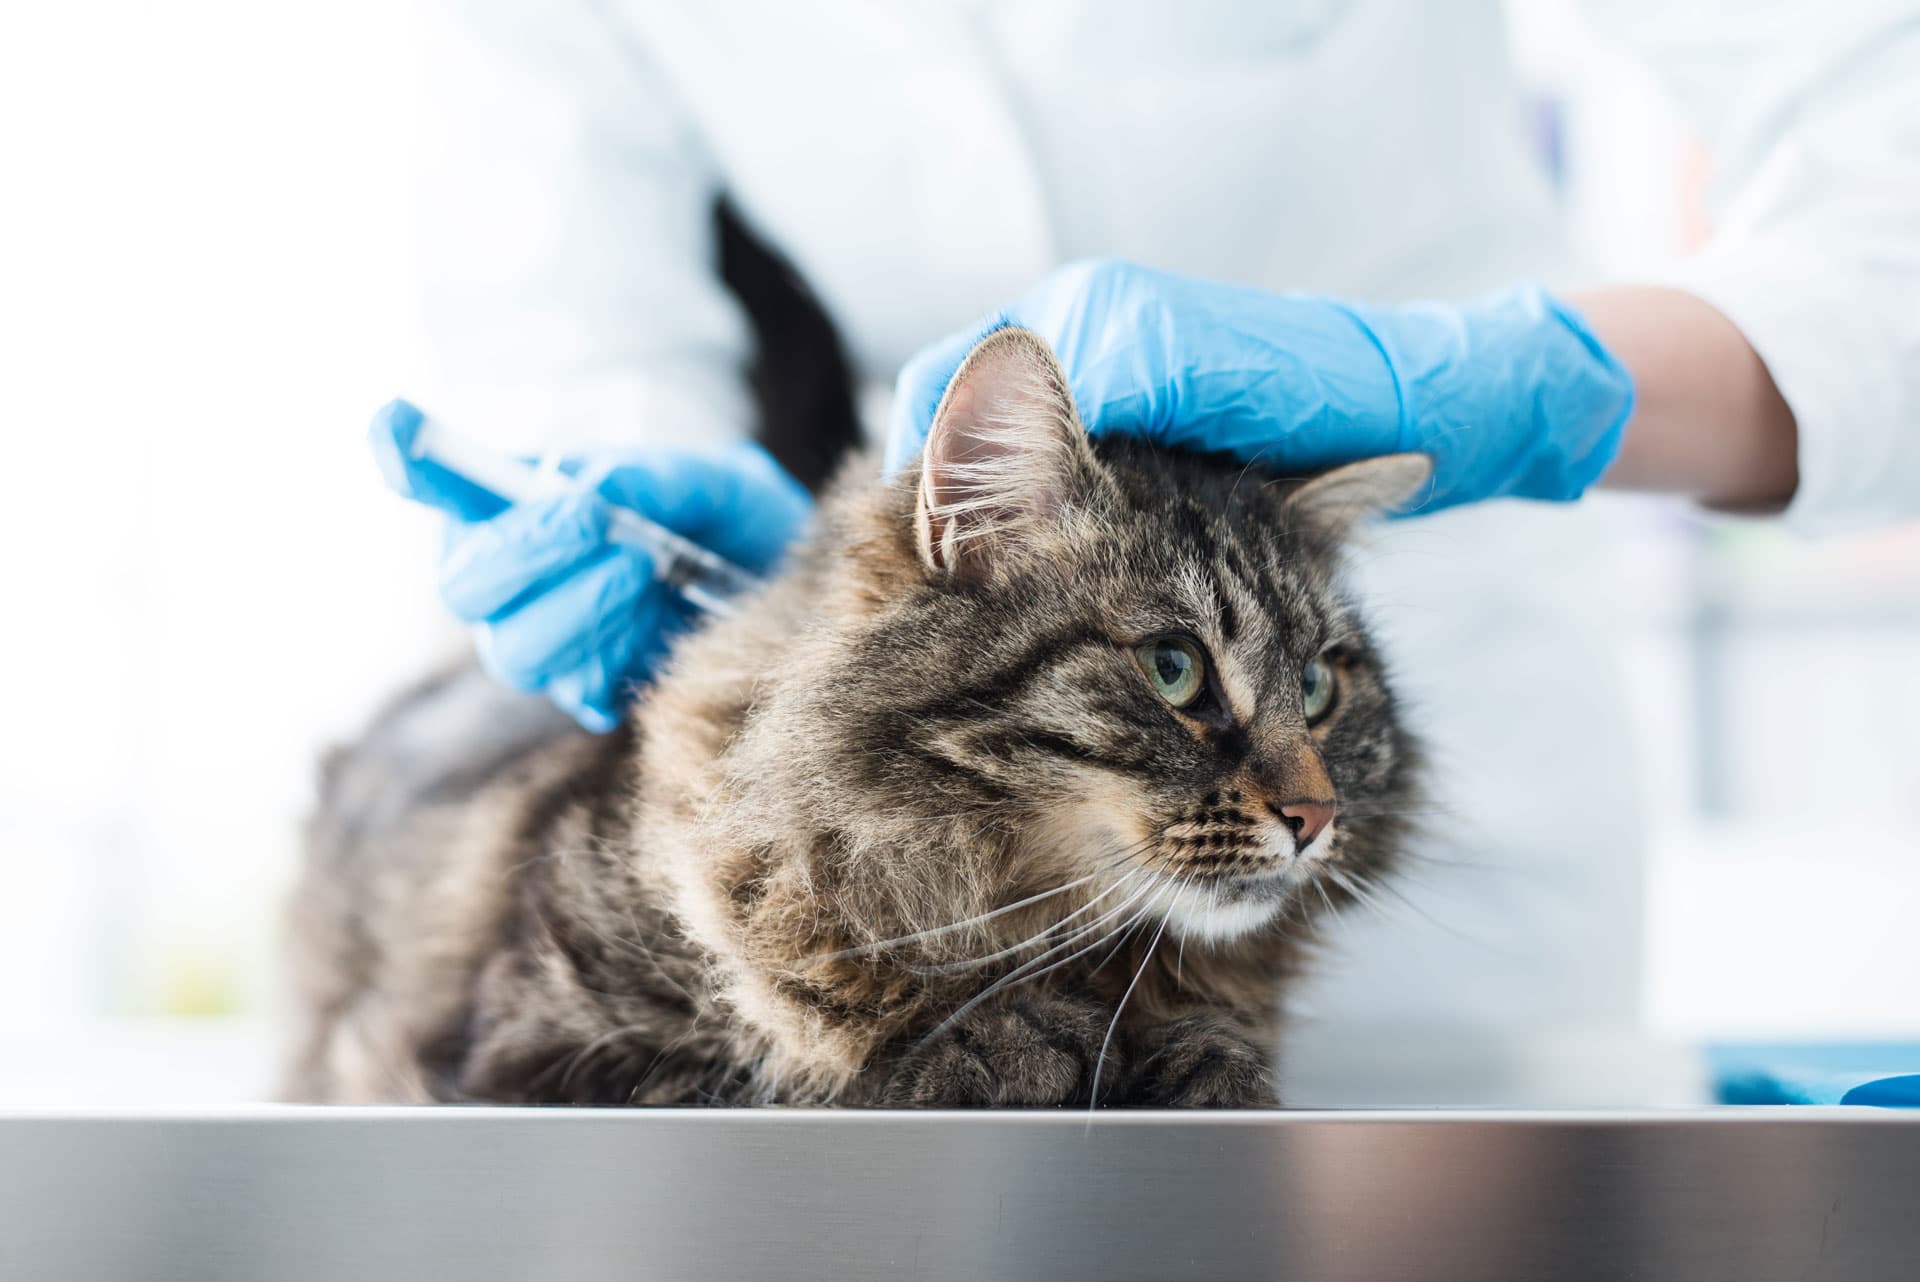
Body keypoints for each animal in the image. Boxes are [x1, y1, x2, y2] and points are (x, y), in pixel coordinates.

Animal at [280, 318, 1428, 1105]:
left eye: (1320, 688)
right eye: (1176, 669)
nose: (1316, 818)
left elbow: (1219, 1055)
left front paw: (1187, 1057)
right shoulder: (531, 1051)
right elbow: (827, 1074)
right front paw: (1000, 1045)